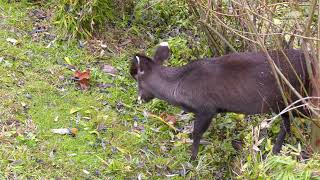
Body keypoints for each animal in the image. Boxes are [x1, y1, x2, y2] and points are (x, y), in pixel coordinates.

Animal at [129, 42, 310, 160]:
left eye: (137, 79)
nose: (140, 99)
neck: (179, 86)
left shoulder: (206, 108)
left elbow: (196, 134)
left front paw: (192, 160)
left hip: (299, 97)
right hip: (282, 102)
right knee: (286, 124)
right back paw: (275, 152)